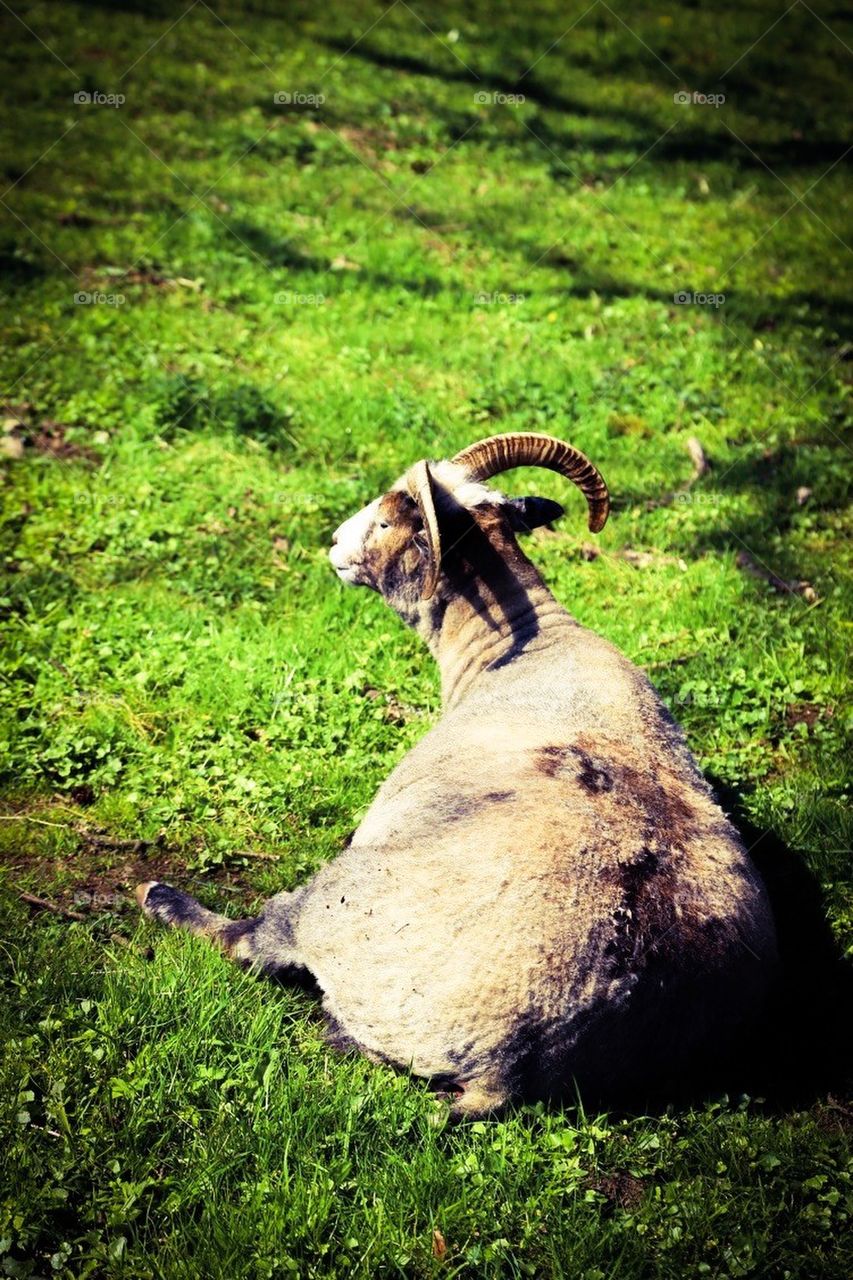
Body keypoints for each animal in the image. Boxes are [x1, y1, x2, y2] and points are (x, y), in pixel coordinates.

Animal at [137, 432, 779, 1118]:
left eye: (388, 520)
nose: (333, 544)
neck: (520, 645)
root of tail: (513, 1069)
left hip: (342, 904)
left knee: (257, 946)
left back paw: (164, 901)